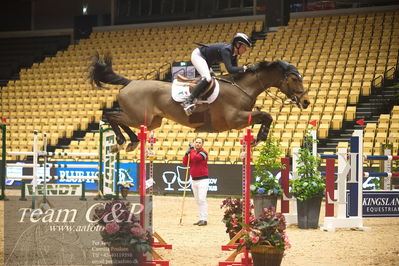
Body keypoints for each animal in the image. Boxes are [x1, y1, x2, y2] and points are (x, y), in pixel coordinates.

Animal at [89, 52, 310, 152]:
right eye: (294, 78)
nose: (306, 102)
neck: (243, 87)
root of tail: (130, 82)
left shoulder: (242, 119)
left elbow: (266, 116)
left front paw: (258, 138)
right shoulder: (235, 120)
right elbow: (266, 115)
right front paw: (259, 138)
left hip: (152, 122)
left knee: (115, 117)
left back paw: (132, 140)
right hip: (139, 117)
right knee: (110, 115)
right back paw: (123, 140)